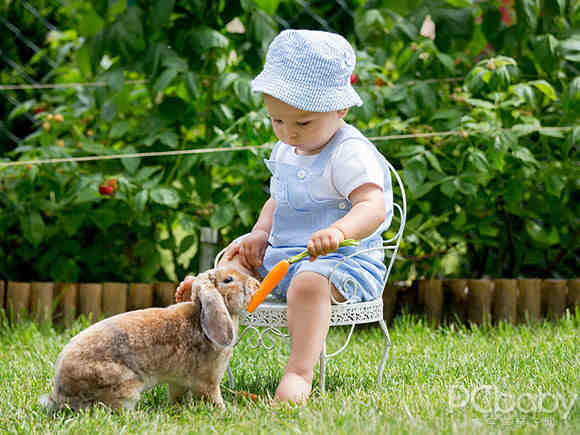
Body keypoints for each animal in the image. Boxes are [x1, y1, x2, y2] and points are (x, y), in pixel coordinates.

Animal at [39, 266, 260, 412]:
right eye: (228, 280)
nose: (256, 284)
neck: (201, 315)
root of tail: (61, 394)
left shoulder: (179, 381)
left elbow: (179, 395)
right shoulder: (208, 381)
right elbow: (212, 397)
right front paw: (224, 411)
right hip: (123, 383)